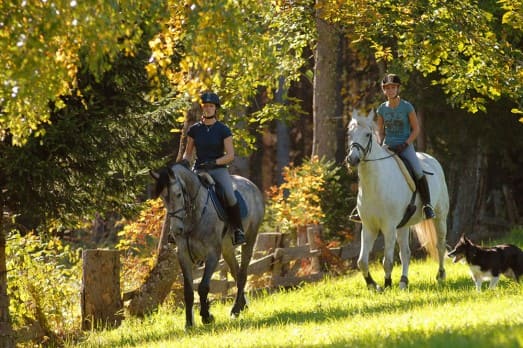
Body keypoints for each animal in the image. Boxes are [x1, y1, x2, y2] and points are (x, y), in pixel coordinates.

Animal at [151, 162, 266, 326]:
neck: (193, 215)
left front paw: (206, 316)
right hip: (227, 248)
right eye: (163, 198)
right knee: (236, 272)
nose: (176, 230)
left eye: (178, 194)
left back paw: (236, 310)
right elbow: (188, 291)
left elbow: (203, 287)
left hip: (249, 240)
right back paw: (242, 306)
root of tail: (251, 185)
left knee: (243, 274)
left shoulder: (212, 254)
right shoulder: (183, 255)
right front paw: (189, 323)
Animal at [346, 110, 448, 290]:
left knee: (440, 245)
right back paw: (403, 282)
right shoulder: (369, 227)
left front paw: (387, 284)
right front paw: (373, 285)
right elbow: (362, 261)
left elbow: (387, 261)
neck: (375, 185)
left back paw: (441, 275)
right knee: (405, 253)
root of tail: (432, 159)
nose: (352, 159)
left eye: (367, 134)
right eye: (349, 134)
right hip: (403, 225)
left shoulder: (388, 227)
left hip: (440, 217)